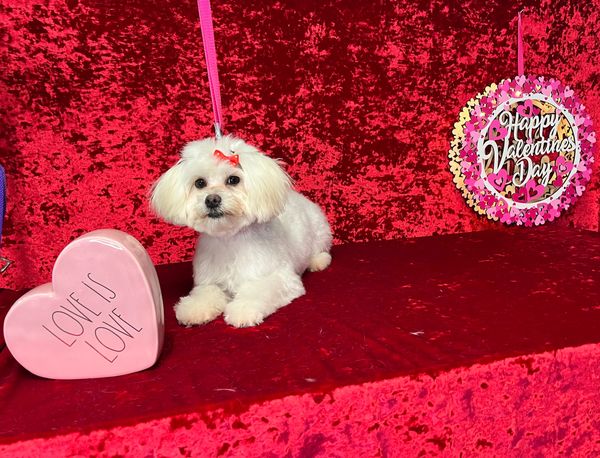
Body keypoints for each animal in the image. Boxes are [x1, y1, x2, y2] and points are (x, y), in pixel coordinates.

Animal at [148, 134, 330, 328]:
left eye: (233, 180)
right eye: (200, 183)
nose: (212, 200)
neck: (229, 240)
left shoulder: (282, 278)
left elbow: (259, 290)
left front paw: (243, 309)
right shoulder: (210, 282)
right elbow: (206, 293)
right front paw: (194, 309)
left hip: (321, 229)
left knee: (320, 249)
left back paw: (318, 261)